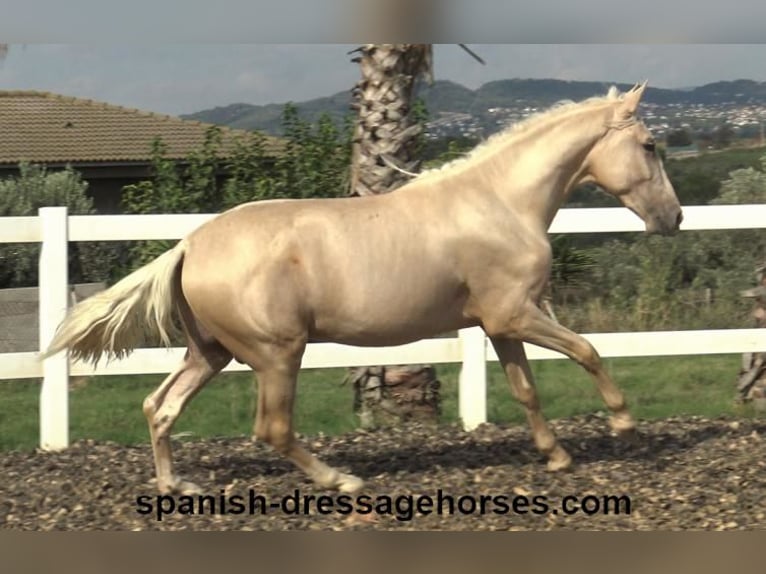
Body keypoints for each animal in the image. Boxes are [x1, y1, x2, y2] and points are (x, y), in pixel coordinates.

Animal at [45, 83, 684, 498]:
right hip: (277, 354)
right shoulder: (516, 315)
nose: (673, 218)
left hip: (212, 352)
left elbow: (525, 389)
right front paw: (624, 425)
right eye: (650, 146)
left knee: (160, 407)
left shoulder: (498, 324)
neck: (502, 202)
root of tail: (189, 245)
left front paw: (556, 456)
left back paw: (178, 486)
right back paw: (343, 479)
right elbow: (587, 350)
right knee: (271, 428)